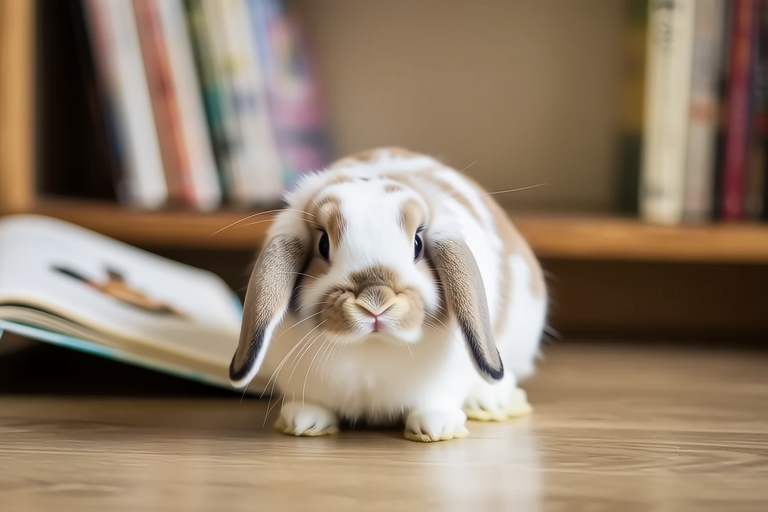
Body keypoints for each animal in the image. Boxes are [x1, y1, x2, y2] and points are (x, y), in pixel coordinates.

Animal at [229, 147, 547, 442]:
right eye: (323, 244)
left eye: (418, 243)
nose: (375, 302)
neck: (372, 347)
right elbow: (313, 405)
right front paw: (304, 421)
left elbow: (436, 402)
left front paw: (436, 425)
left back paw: (490, 401)